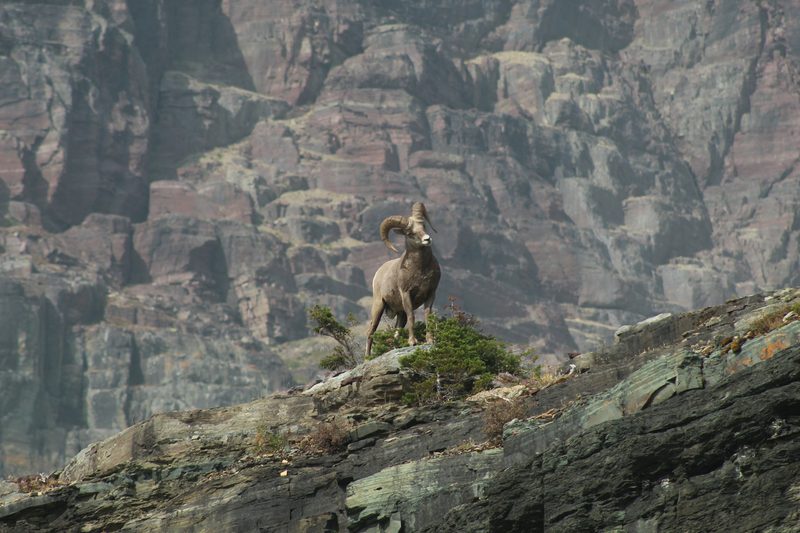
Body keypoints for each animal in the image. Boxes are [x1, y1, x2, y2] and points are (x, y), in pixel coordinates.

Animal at [365, 202, 441, 357]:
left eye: (423, 225)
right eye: (410, 233)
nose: (427, 239)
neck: (420, 270)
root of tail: (378, 272)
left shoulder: (431, 294)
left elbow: (427, 316)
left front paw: (430, 340)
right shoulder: (406, 294)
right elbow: (412, 316)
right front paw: (413, 342)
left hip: (400, 315)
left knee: (397, 331)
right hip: (378, 306)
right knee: (371, 330)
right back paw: (367, 357)